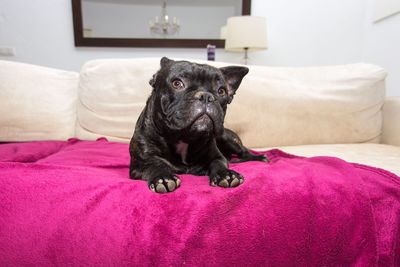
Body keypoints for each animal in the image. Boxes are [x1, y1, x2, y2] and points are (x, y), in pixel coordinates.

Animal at [130, 57, 268, 194]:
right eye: (177, 83)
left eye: (221, 91)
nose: (206, 96)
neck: (184, 138)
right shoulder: (141, 163)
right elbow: (155, 165)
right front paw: (163, 177)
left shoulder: (216, 156)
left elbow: (219, 163)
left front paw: (226, 174)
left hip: (228, 139)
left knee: (244, 152)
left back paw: (260, 157)